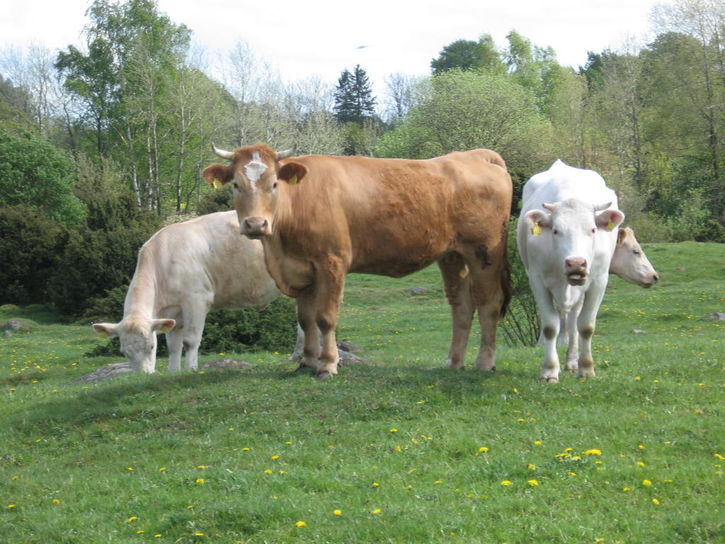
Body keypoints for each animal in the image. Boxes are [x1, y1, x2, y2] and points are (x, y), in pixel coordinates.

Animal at [92, 211, 303, 373]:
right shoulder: (173, 313)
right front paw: (173, 371)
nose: (143, 375)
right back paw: (296, 357)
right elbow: (173, 346)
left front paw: (191, 369)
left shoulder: (196, 299)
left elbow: (190, 340)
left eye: (151, 346)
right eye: (123, 351)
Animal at [203, 144, 513, 379]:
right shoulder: (301, 270)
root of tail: (475, 155)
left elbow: (325, 317)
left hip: (484, 252)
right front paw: (307, 362)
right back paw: (453, 363)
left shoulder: (332, 263)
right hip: (452, 255)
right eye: (235, 184)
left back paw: (484, 363)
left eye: (274, 184)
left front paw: (327, 365)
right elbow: (305, 319)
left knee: (488, 303)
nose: (256, 224)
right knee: (461, 306)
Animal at [518, 159, 628, 382]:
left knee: (574, 320)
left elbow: (585, 326)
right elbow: (550, 326)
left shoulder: (599, 281)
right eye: (555, 230)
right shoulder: (537, 280)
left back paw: (572, 361)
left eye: (592, 230)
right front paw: (550, 370)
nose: (576, 263)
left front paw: (586, 368)